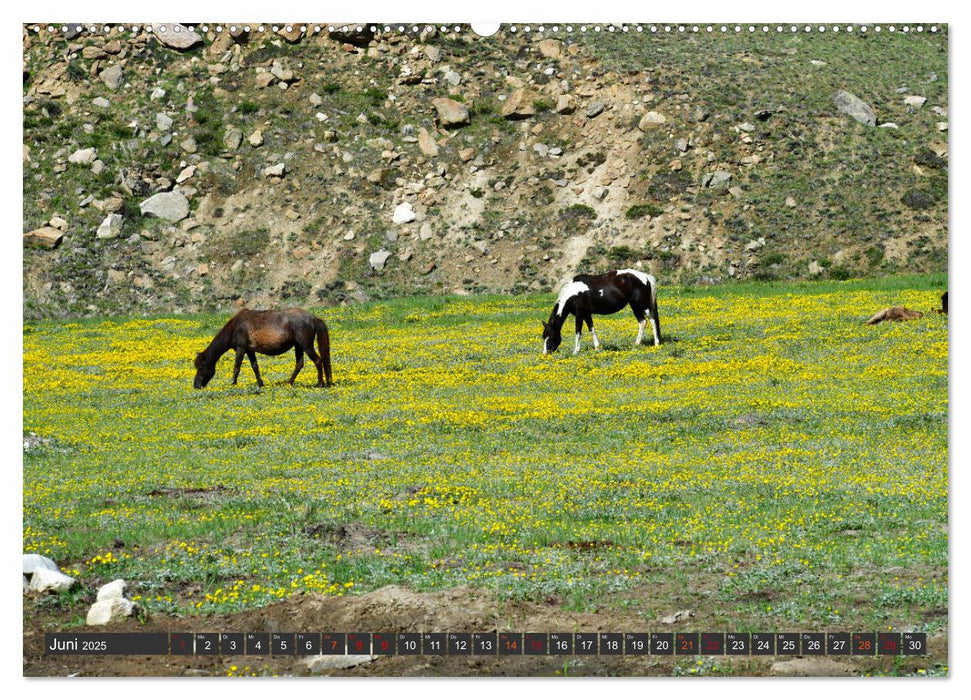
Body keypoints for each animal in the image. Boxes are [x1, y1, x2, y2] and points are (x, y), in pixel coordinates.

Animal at [194, 308, 334, 388]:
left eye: (201, 367)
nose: (196, 385)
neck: (235, 327)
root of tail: (314, 318)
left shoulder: (241, 349)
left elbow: (236, 367)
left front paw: (233, 384)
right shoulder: (249, 350)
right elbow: (255, 366)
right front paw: (260, 384)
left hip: (306, 345)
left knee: (318, 361)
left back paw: (320, 384)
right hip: (298, 345)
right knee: (299, 364)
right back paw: (289, 382)